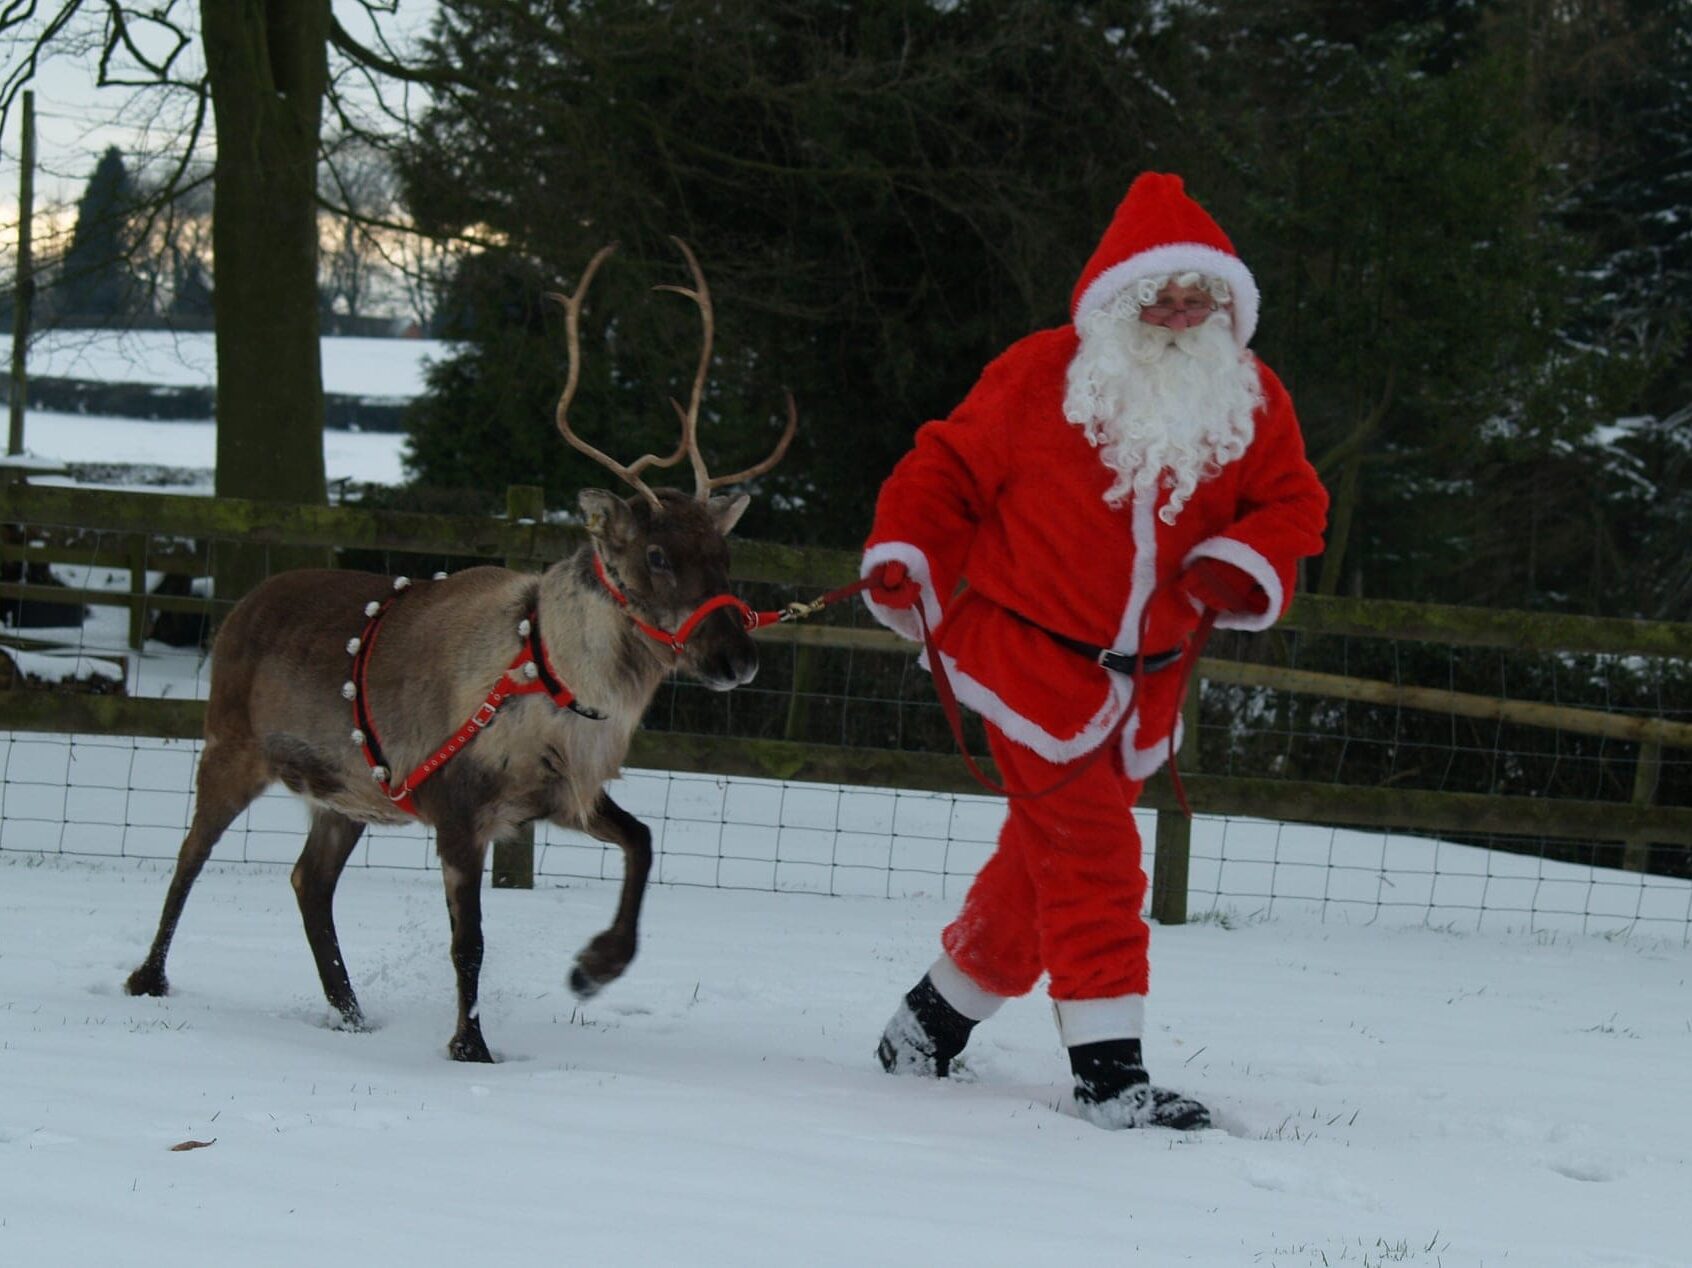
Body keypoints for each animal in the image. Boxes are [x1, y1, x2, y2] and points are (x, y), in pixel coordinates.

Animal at [125, 240, 795, 1062]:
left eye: (725, 555)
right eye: (659, 555)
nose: (739, 659)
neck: (563, 687)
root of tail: (241, 605)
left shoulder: (556, 797)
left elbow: (641, 841)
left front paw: (593, 968)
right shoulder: (458, 808)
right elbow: (469, 942)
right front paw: (471, 1045)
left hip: (349, 794)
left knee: (309, 882)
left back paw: (351, 1011)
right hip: (232, 747)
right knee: (190, 854)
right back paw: (149, 977)